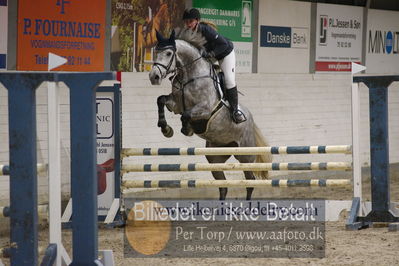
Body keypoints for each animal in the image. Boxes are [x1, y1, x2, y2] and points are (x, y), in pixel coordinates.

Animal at [148, 30, 274, 200]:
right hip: (215, 157)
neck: (189, 76)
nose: (153, 76)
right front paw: (166, 129)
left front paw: (186, 130)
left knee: (250, 182)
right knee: (223, 186)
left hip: (245, 155)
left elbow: (186, 115)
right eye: (156, 51)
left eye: (168, 53)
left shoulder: (205, 109)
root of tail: (251, 121)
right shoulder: (175, 104)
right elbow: (160, 100)